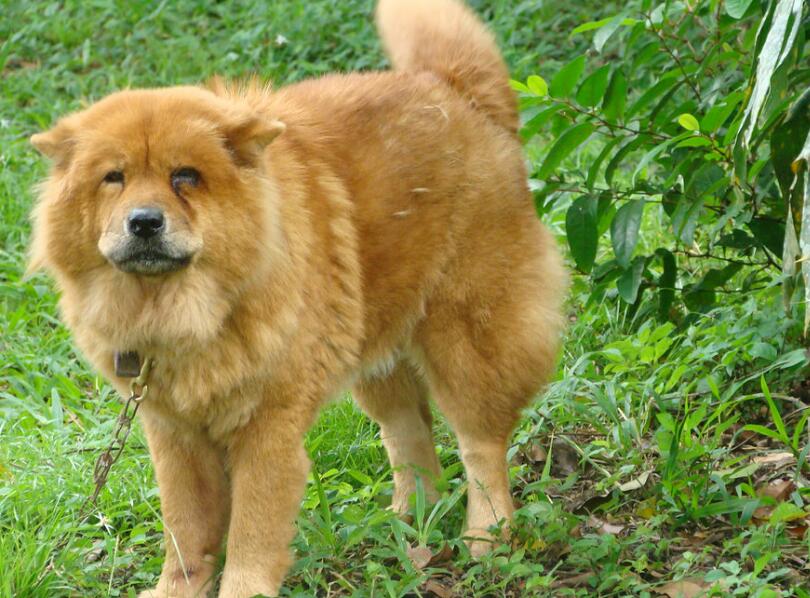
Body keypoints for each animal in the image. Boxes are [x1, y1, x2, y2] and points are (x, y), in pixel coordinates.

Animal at [28, 0, 567, 595]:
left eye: (185, 176)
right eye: (114, 178)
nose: (144, 221)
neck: (187, 314)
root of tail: (455, 90)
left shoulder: (267, 428)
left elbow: (251, 534)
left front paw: (242, 588)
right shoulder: (174, 433)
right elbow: (185, 532)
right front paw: (177, 589)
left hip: (467, 340)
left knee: (479, 445)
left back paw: (486, 537)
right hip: (375, 353)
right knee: (410, 438)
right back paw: (408, 524)